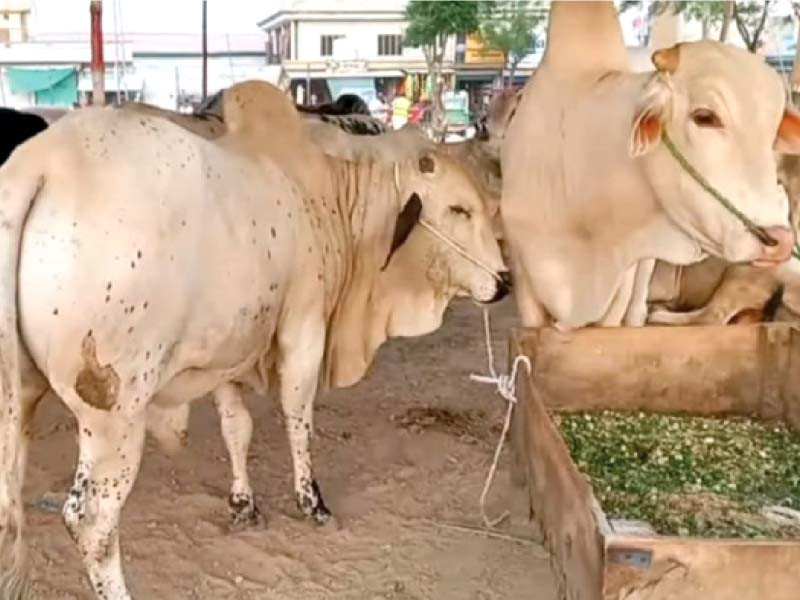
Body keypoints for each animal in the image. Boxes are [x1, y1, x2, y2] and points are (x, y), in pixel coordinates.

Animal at [0, 81, 506, 600]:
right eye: (458, 208)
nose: (504, 282)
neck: (326, 189)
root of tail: (39, 165)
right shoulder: (304, 327)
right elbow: (298, 420)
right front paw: (312, 502)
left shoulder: (230, 348)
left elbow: (236, 427)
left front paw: (243, 503)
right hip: (114, 414)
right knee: (92, 521)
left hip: (19, 398)